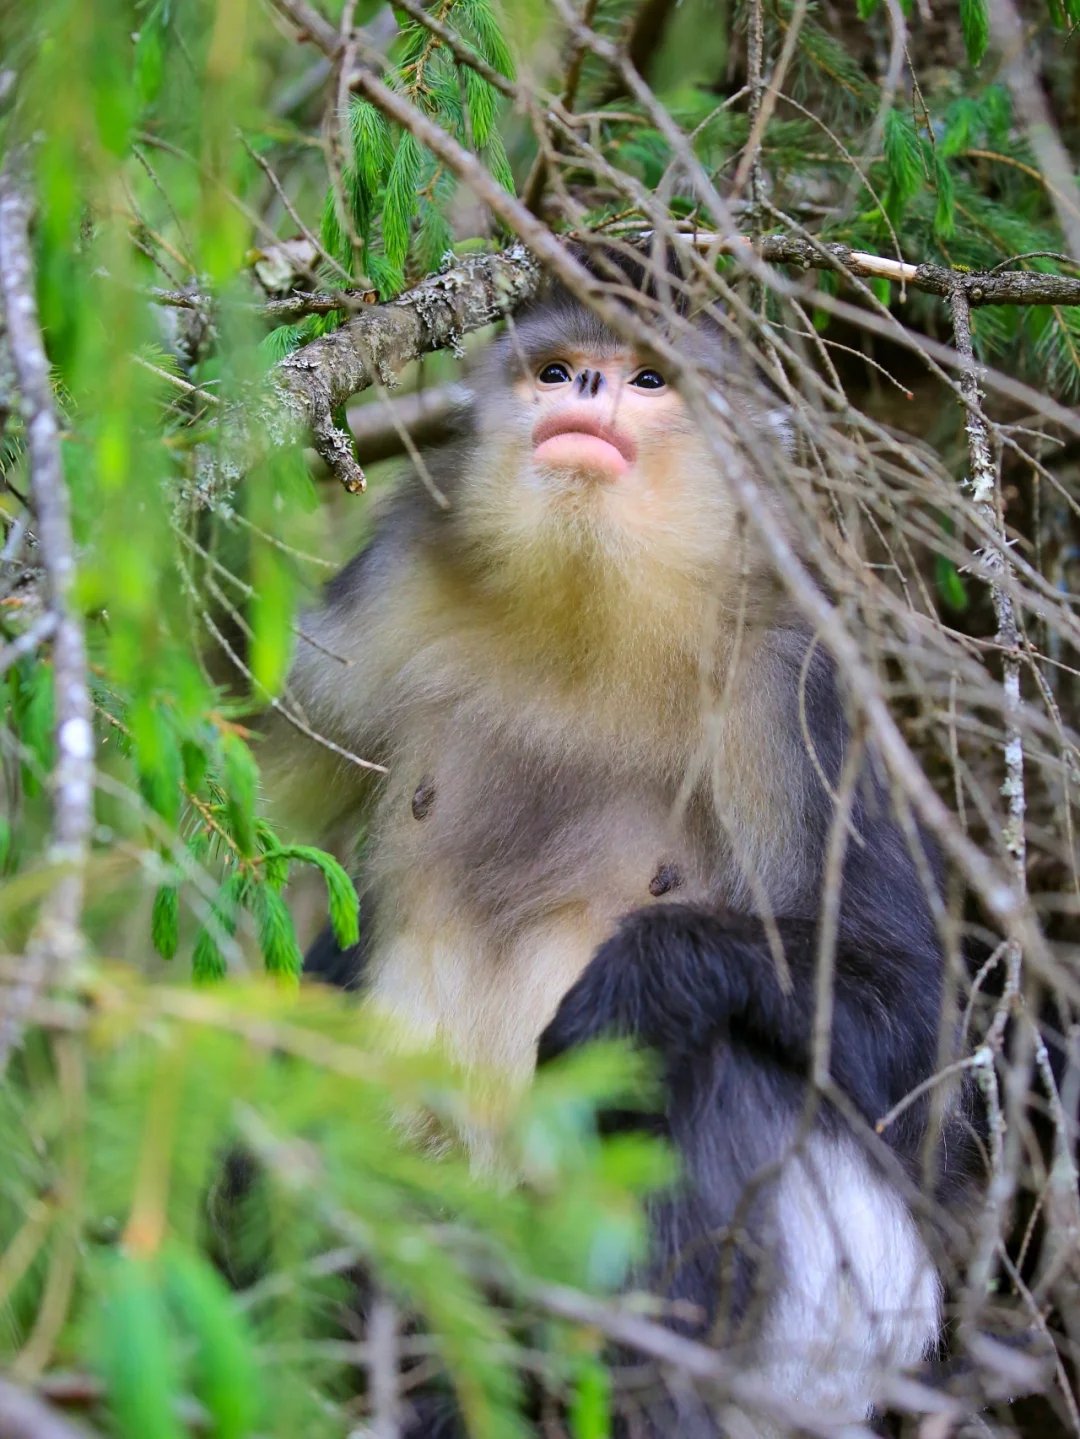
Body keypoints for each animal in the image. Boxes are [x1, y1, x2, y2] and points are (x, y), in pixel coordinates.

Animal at [261, 250, 977, 1439]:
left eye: (646, 378)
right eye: (557, 370)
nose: (589, 394)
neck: (591, 615)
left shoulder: (798, 683)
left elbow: (919, 1041)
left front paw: (633, 982)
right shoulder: (389, 589)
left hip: (840, 1318)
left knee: (704, 1062)